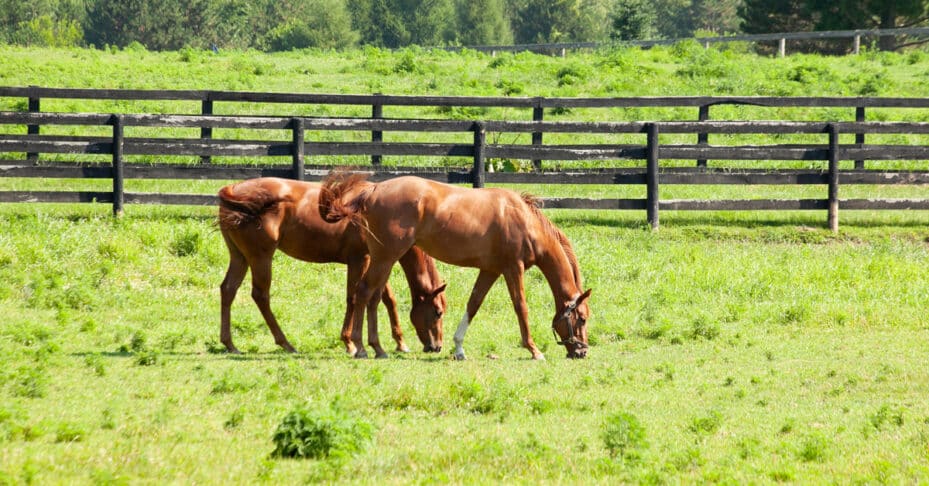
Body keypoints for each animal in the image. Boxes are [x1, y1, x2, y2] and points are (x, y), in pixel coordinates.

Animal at [217, 177, 446, 358]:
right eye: (438, 312)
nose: (437, 347)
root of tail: (233, 189)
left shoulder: (377, 260)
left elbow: (388, 299)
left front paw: (400, 342)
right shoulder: (360, 260)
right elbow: (353, 298)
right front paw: (351, 343)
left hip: (239, 257)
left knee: (228, 289)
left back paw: (230, 344)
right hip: (260, 258)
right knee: (261, 295)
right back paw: (286, 343)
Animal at [319, 173, 591, 360]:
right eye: (582, 319)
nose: (582, 351)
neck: (523, 219)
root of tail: (373, 191)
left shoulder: (491, 270)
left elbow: (474, 304)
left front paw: (458, 347)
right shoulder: (514, 269)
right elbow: (521, 308)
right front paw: (534, 350)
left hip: (384, 260)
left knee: (373, 298)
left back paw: (377, 348)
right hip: (384, 258)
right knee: (364, 293)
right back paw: (361, 347)